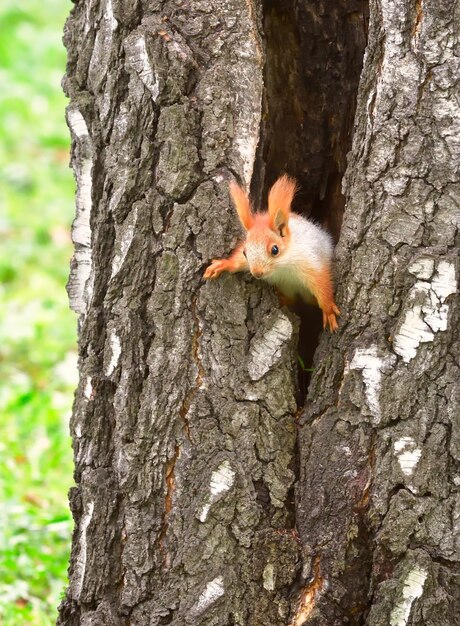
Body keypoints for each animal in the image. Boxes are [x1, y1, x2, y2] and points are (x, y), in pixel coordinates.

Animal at [205, 174, 342, 332]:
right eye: (245, 252)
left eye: (275, 250)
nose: (257, 273)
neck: (282, 267)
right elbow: (237, 261)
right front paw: (224, 264)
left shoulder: (310, 261)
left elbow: (322, 283)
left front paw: (328, 309)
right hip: (287, 288)